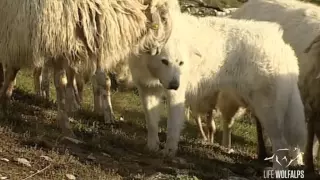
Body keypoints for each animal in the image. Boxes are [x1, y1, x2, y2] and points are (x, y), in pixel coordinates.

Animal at [0, 0, 175, 139]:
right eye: (163, 17)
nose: (158, 50)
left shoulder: (60, 44)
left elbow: (63, 83)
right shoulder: (20, 34)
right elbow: (13, 72)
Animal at [131, 9, 306, 170]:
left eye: (181, 63)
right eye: (164, 61)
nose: (175, 85)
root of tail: (282, 43)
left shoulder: (176, 96)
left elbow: (172, 128)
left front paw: (168, 152)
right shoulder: (147, 90)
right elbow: (151, 123)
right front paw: (152, 147)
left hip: (267, 111)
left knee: (281, 144)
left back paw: (277, 170)